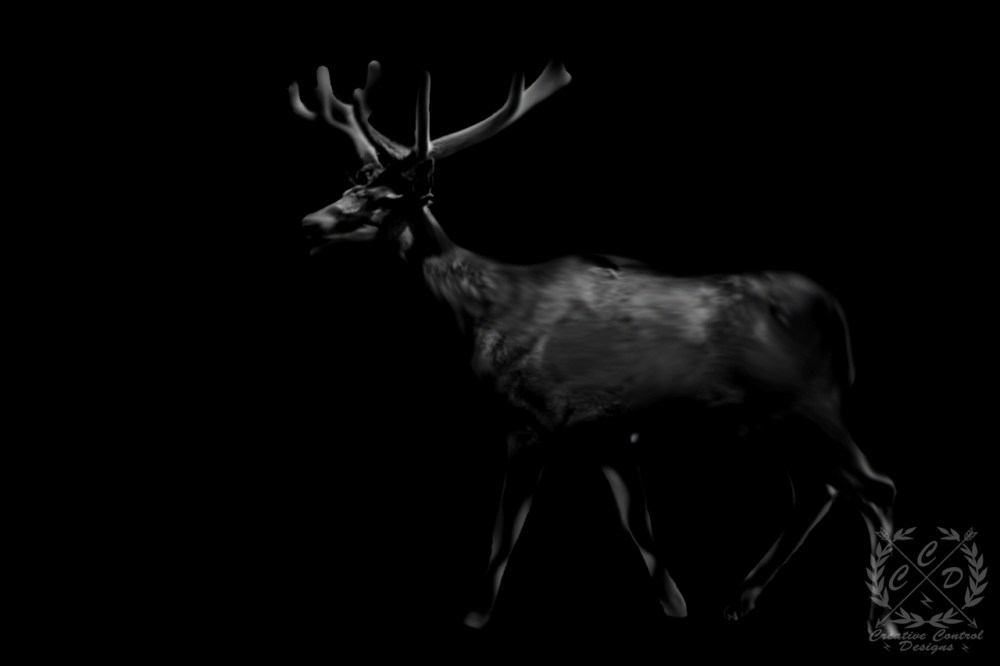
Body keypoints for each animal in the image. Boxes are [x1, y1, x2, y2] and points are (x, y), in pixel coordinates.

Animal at [288, 59, 897, 634]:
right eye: (350, 186)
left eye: (389, 198)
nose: (310, 222)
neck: (484, 313)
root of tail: (837, 315)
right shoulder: (608, 429)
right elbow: (640, 525)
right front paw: (677, 605)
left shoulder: (531, 420)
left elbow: (505, 532)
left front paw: (474, 615)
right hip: (767, 420)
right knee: (819, 491)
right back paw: (740, 599)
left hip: (810, 403)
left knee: (875, 488)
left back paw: (882, 618)